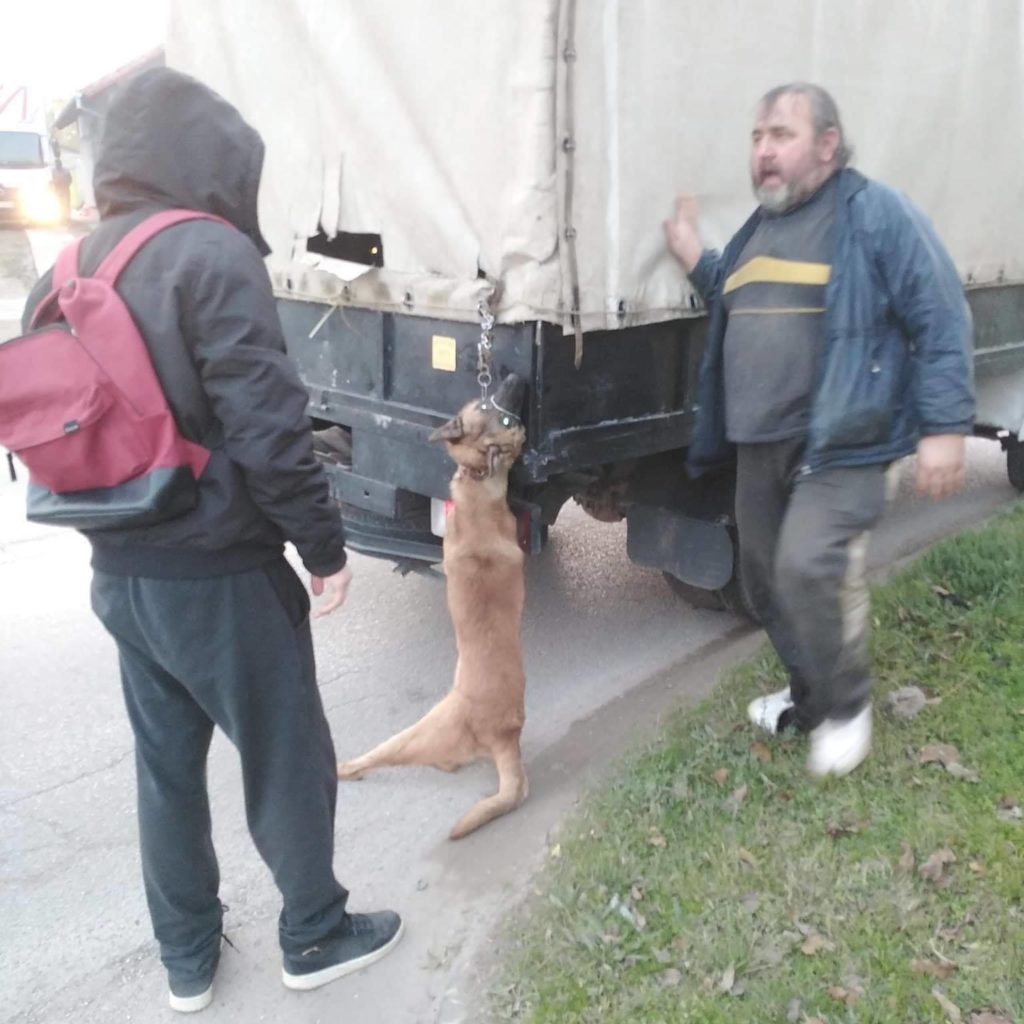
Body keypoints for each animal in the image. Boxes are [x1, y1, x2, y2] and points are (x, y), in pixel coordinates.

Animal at [338, 374, 530, 839]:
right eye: (493, 409)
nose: (515, 377)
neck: (477, 481)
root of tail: (506, 735)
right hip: (425, 735)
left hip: (418, 734)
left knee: (378, 757)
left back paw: (345, 768)